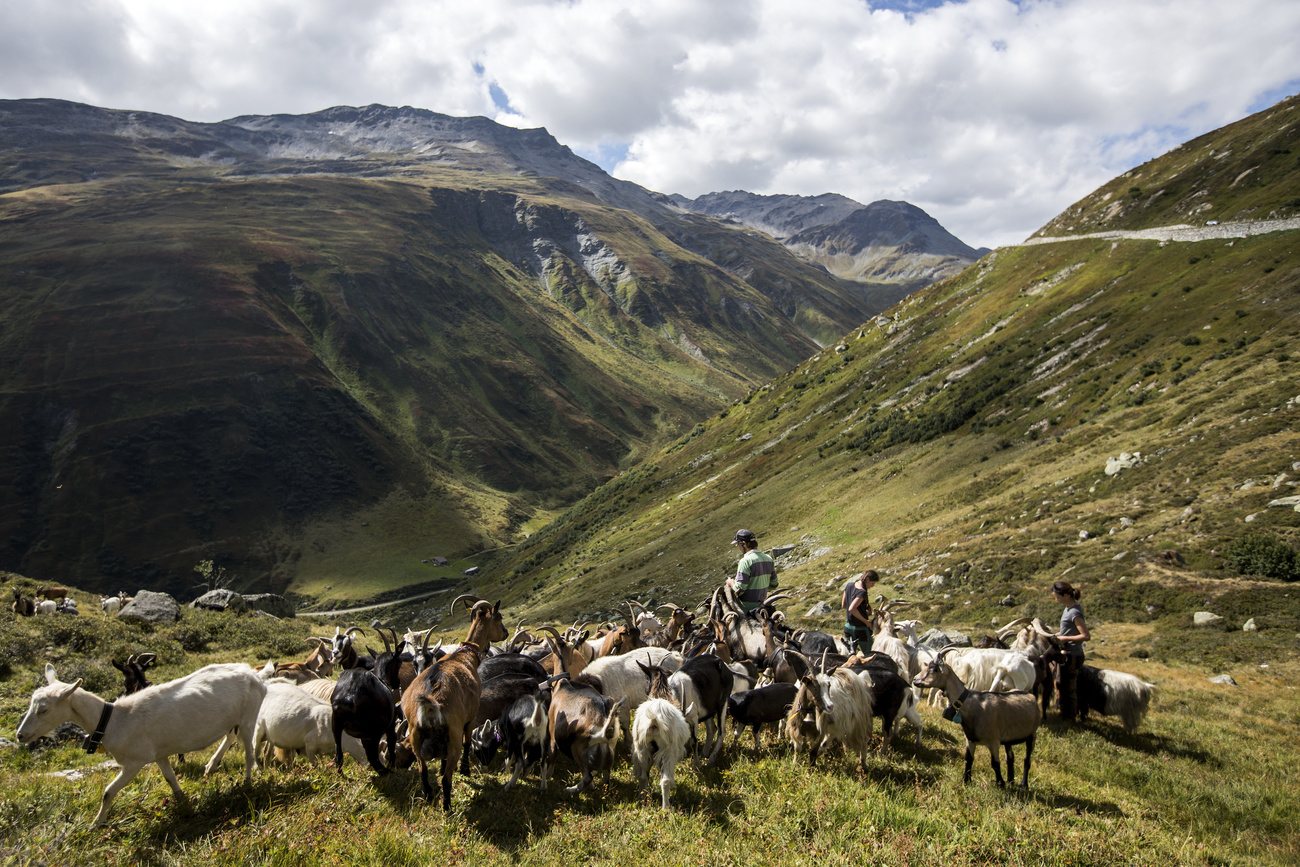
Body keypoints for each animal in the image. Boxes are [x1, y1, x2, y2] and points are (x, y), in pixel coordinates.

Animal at [17, 660, 263, 826]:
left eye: (43, 709)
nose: (20, 735)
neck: (114, 720)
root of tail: (254, 674)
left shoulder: (135, 761)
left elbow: (108, 792)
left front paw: (96, 824)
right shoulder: (159, 754)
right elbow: (170, 778)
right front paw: (185, 804)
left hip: (248, 718)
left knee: (248, 752)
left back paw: (248, 784)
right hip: (233, 719)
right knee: (230, 737)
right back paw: (211, 766)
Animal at [403, 592, 504, 811]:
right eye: (499, 618)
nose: (506, 632)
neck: (465, 655)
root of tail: (430, 703)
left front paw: (440, 769)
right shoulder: (471, 716)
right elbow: (468, 743)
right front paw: (466, 770)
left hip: (415, 739)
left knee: (423, 772)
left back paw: (428, 795)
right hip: (453, 738)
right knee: (447, 779)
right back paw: (448, 808)